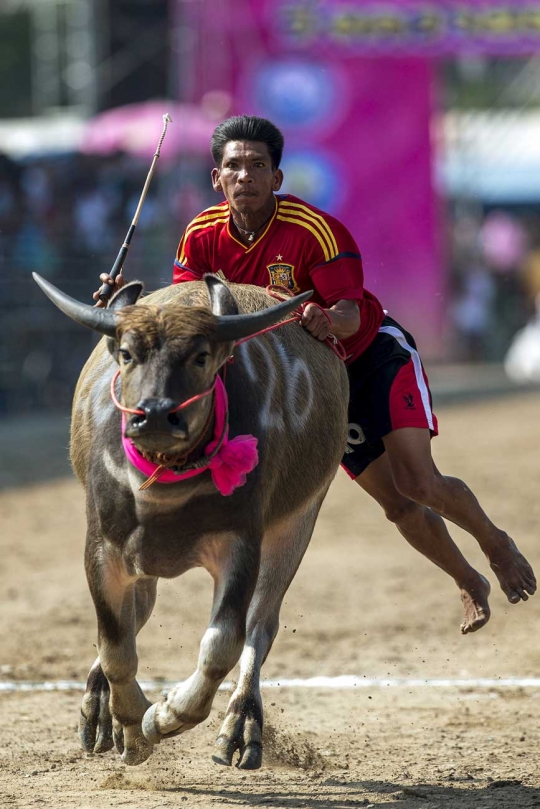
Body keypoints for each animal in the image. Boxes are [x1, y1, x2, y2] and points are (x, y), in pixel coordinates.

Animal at [33, 274, 348, 772]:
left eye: (201, 356)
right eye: (128, 353)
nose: (155, 414)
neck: (165, 487)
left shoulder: (242, 544)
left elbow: (222, 644)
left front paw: (164, 717)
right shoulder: (103, 548)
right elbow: (116, 645)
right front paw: (130, 727)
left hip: (298, 522)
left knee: (261, 625)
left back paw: (242, 724)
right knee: (138, 614)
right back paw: (101, 710)